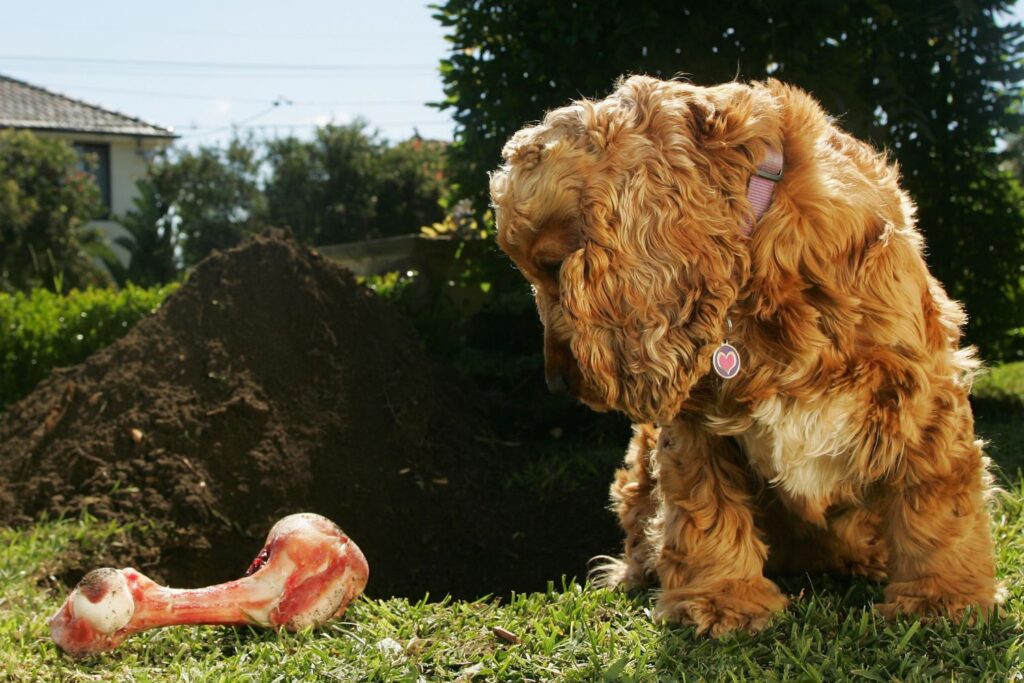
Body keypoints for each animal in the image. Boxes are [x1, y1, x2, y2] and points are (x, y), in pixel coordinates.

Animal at [491, 73, 1003, 634]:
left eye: (553, 265)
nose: (557, 381)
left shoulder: (921, 391)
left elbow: (935, 500)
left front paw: (942, 598)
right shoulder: (695, 417)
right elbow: (704, 507)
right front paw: (722, 601)